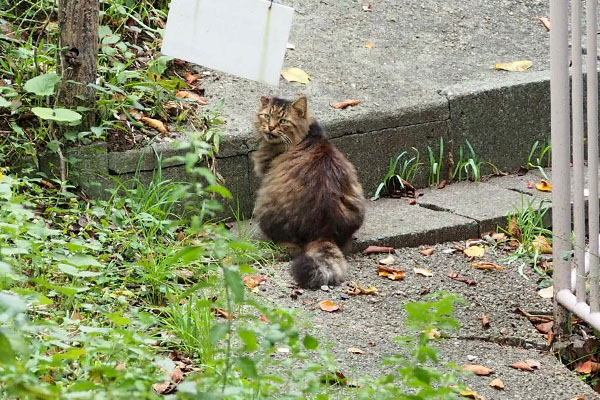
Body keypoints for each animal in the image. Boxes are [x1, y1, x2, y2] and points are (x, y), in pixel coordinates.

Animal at [250, 95, 364, 288]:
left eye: (283, 121)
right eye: (267, 116)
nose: (270, 127)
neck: (307, 136)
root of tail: (324, 231)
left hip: (263, 205)